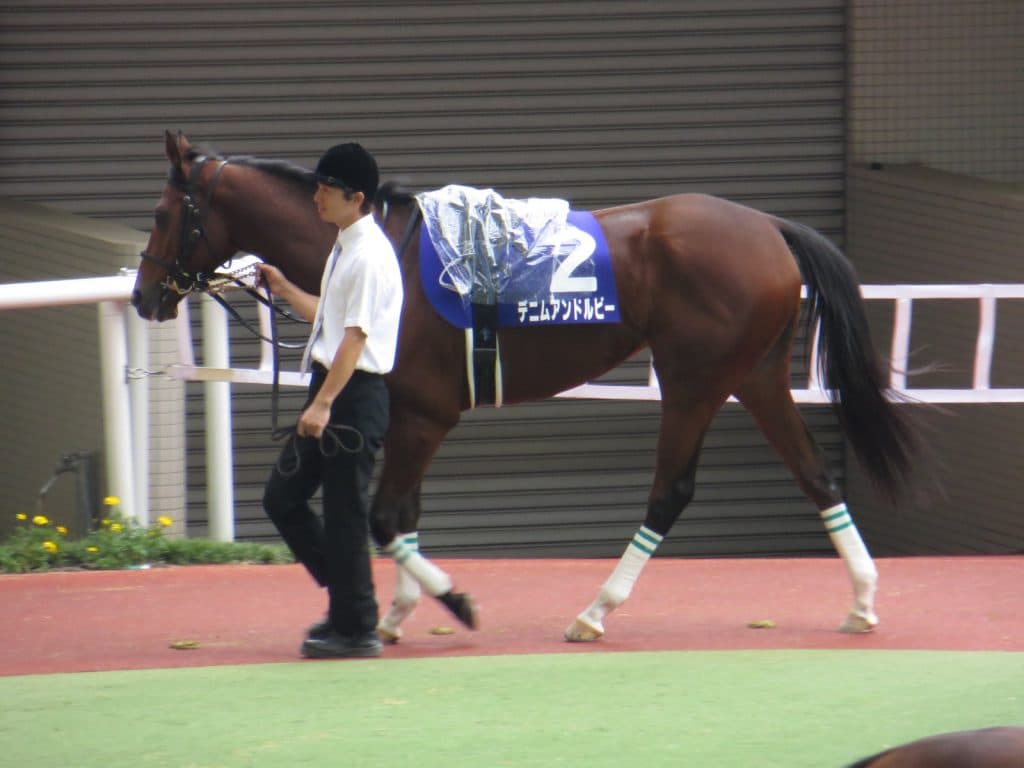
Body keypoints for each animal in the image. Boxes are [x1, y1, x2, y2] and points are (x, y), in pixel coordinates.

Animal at [133, 130, 918, 643]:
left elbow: (387, 516)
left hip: (695, 380)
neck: (379, 250)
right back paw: (862, 601)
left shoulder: (427, 415)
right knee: (816, 475)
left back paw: (596, 611)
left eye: (163, 215)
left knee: (671, 490)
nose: (143, 297)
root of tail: (770, 228)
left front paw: (447, 603)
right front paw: (398, 613)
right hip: (754, 376)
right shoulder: (410, 415)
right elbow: (401, 513)